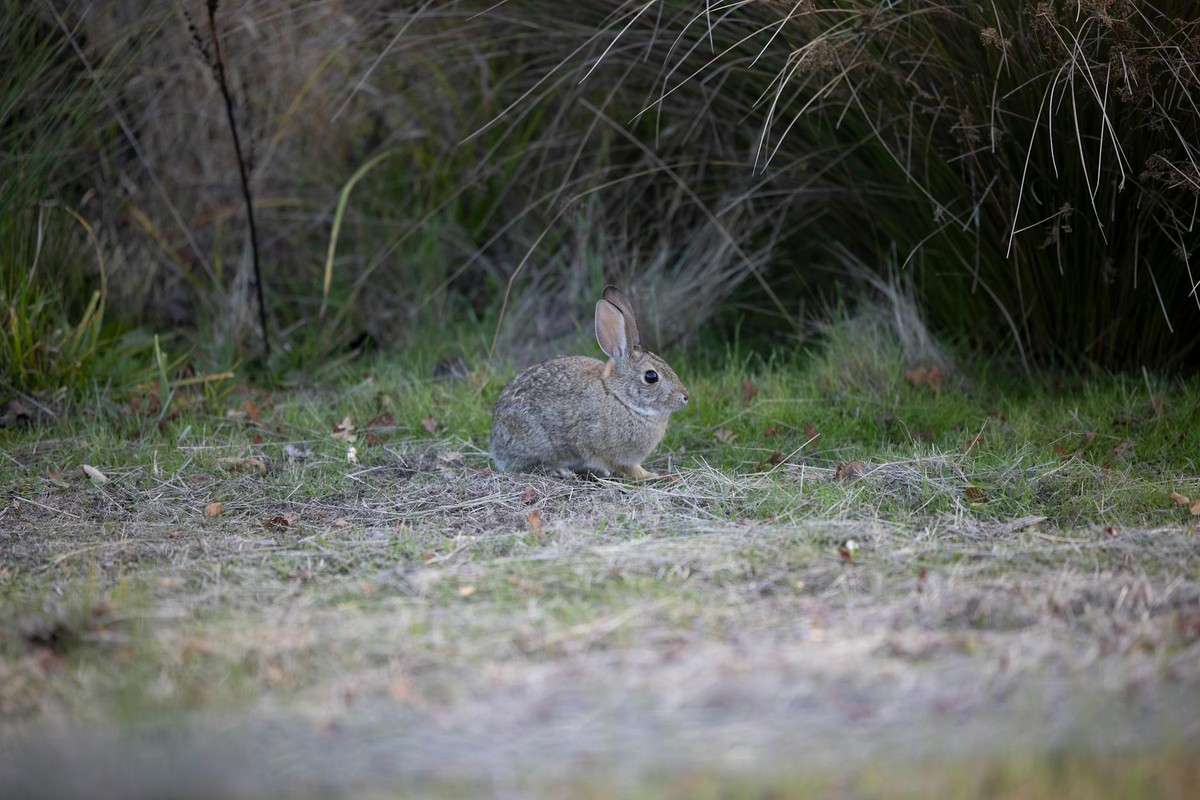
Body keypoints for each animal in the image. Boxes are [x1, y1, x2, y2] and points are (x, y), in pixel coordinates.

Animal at [490, 285, 688, 479]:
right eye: (651, 377)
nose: (685, 396)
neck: (620, 398)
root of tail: (495, 441)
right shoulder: (606, 450)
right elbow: (627, 468)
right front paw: (650, 475)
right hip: (536, 442)